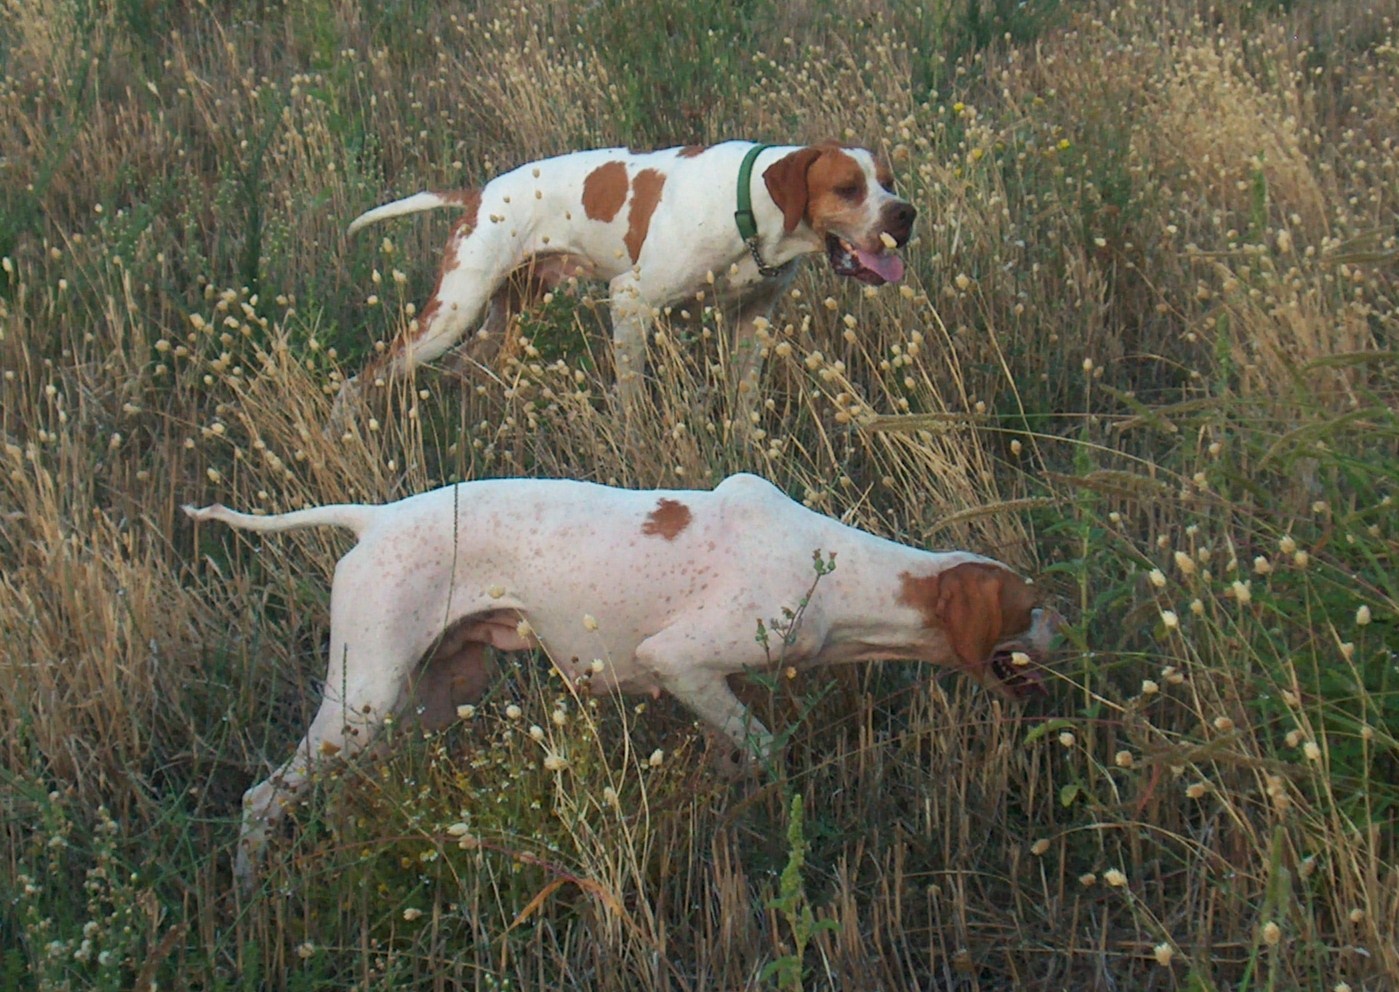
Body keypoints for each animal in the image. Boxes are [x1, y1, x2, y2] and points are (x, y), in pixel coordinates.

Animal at [188, 472, 1057, 884]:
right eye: (1031, 607)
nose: (1068, 625)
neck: (837, 569)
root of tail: (374, 518)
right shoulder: (678, 659)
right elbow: (763, 747)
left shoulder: (705, 688)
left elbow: (731, 757)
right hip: (364, 702)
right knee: (262, 798)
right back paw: (252, 891)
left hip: (429, 697)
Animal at [338, 141, 917, 411]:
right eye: (847, 189)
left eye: (889, 182)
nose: (905, 214)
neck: (751, 204)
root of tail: (479, 193)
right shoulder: (630, 300)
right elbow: (632, 401)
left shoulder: (752, 320)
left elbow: (746, 402)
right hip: (450, 313)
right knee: (360, 380)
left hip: (506, 314)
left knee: (466, 368)